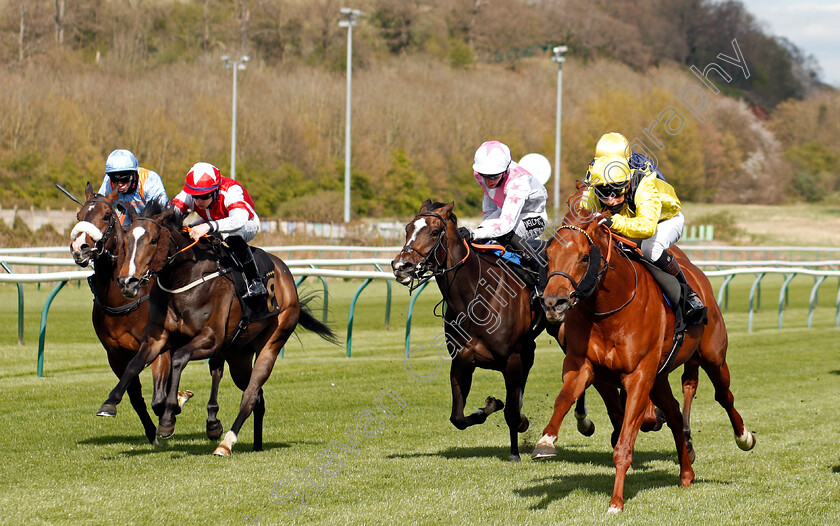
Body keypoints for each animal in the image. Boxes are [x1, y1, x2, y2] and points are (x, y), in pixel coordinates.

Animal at [70, 186, 223, 446]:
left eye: (106, 216)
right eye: (80, 215)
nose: (79, 246)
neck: (123, 301)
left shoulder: (160, 347)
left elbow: (158, 397)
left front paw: (173, 409)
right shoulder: (115, 353)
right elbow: (136, 396)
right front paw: (151, 432)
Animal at [96, 204, 338, 456]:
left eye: (153, 240)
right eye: (126, 241)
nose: (127, 282)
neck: (184, 279)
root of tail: (286, 274)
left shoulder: (211, 339)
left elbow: (179, 358)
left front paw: (169, 417)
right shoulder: (157, 338)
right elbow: (134, 364)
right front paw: (110, 403)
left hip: (273, 341)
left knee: (250, 395)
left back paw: (226, 443)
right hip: (239, 355)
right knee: (257, 396)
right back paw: (256, 444)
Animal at [536, 201, 756, 512]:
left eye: (583, 257)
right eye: (549, 255)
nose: (553, 303)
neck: (608, 310)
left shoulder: (638, 375)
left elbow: (625, 441)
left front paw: (616, 502)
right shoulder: (584, 365)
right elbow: (564, 398)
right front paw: (546, 441)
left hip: (712, 356)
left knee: (724, 396)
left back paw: (743, 437)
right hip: (659, 377)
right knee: (675, 413)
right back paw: (686, 473)